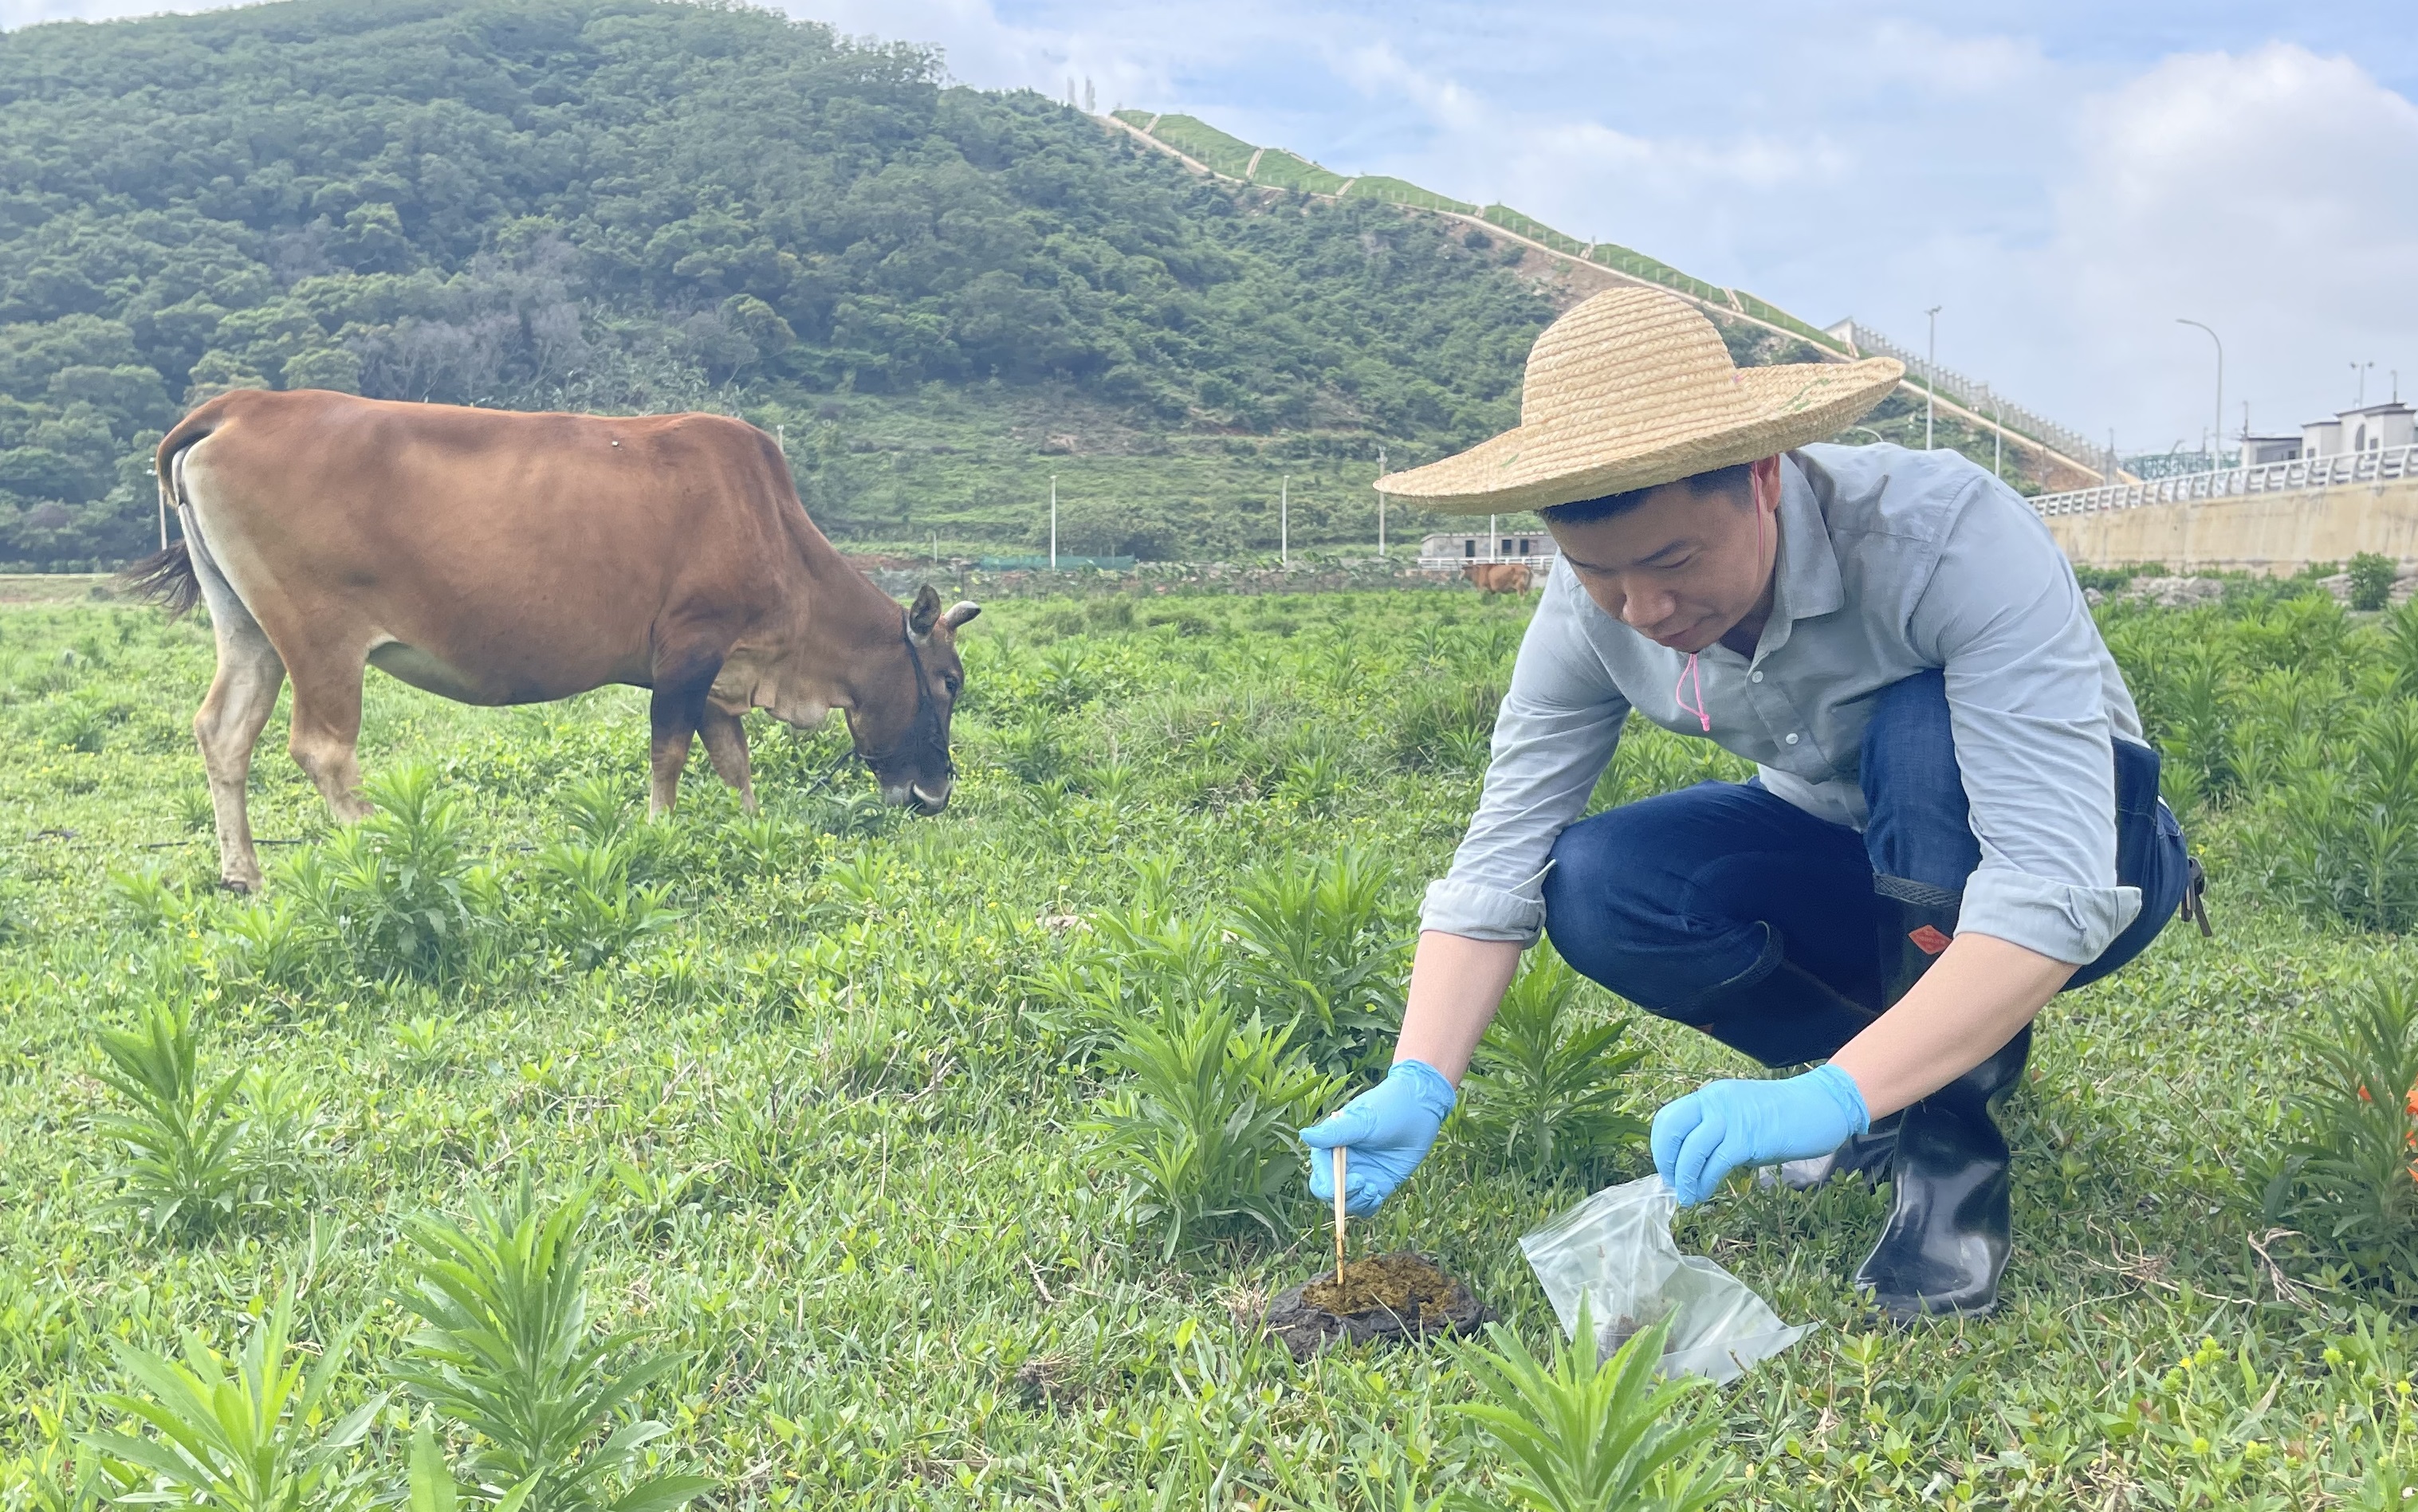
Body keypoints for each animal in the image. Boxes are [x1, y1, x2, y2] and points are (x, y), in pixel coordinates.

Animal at [127, 382, 977, 895]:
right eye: (951, 681)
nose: (936, 792)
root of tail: (241, 405)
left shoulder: (718, 672)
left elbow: (732, 760)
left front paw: (752, 827)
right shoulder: (688, 649)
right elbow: (669, 754)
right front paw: (659, 835)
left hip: (248, 627)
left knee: (223, 731)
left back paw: (244, 874)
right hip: (319, 637)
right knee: (322, 749)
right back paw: (388, 849)